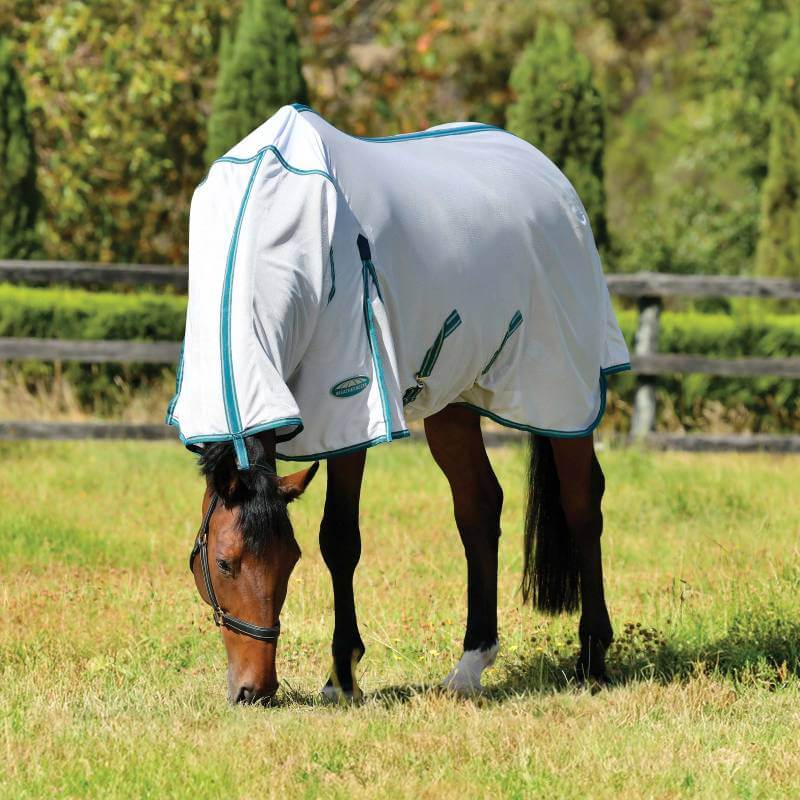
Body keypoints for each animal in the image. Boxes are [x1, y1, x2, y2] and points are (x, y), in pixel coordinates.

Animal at [173, 105, 630, 703]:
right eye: (224, 563)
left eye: (288, 560)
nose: (256, 689)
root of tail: (553, 180)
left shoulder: (349, 411)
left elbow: (339, 539)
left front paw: (342, 677)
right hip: (453, 399)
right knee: (478, 507)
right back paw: (470, 665)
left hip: (564, 391)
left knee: (582, 504)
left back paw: (593, 658)